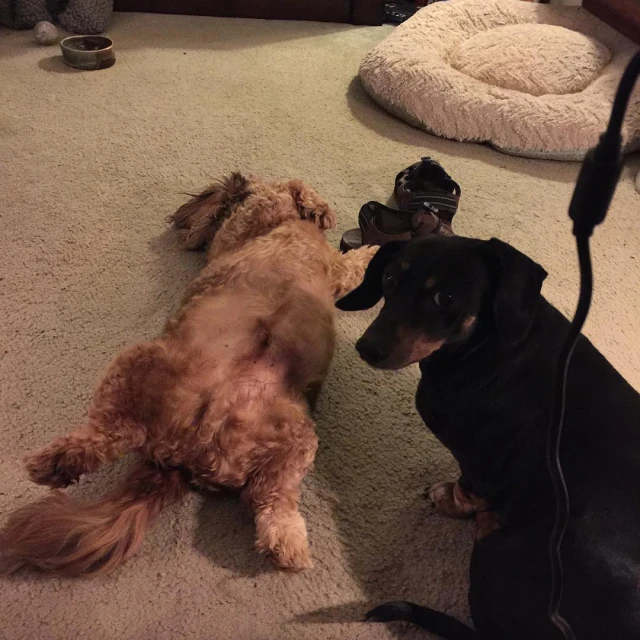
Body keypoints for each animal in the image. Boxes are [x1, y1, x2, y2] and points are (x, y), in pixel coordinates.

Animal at [0, 172, 378, 576]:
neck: (284, 224)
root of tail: (184, 455)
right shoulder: (273, 219)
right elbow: (300, 193)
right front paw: (334, 219)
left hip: (297, 435)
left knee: (268, 495)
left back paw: (285, 542)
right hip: (143, 361)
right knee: (113, 432)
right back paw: (57, 461)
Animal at [336, 235, 640, 640]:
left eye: (444, 298)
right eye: (387, 278)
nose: (367, 348)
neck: (495, 347)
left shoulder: (479, 459)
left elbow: (469, 488)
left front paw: (449, 499)